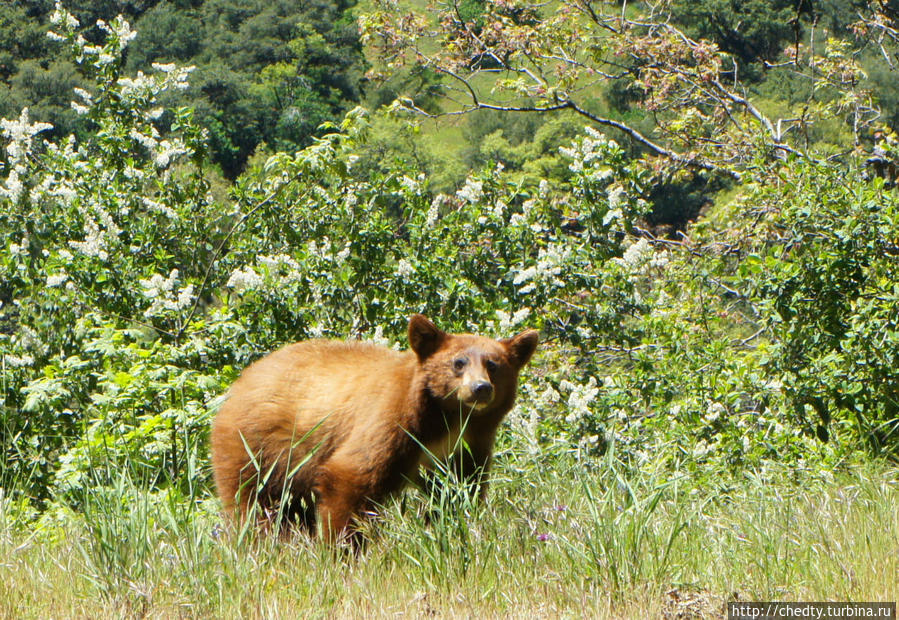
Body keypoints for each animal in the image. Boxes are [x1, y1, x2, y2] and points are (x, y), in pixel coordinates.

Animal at [211, 312, 536, 540]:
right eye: (459, 362)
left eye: (493, 365)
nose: (480, 388)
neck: (447, 419)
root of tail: (240, 382)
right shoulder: (392, 420)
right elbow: (352, 477)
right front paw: (341, 548)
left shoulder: (468, 444)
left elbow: (459, 488)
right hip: (256, 446)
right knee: (253, 502)